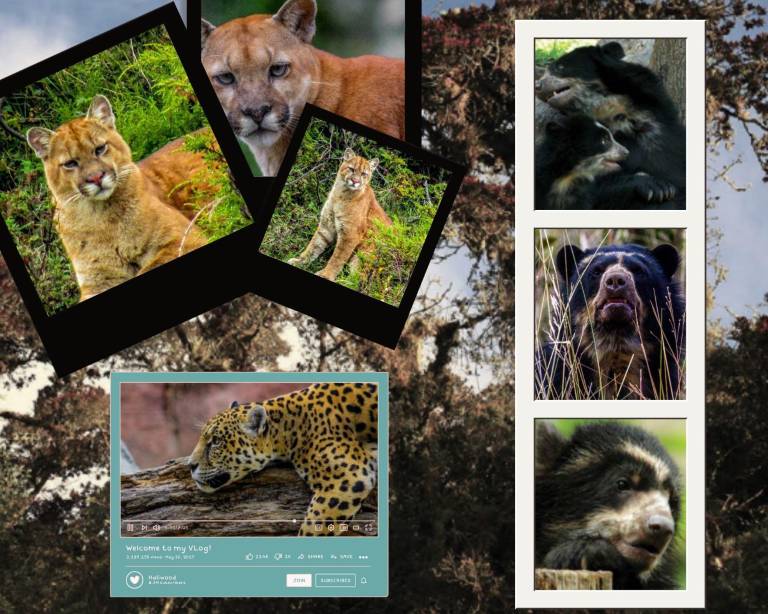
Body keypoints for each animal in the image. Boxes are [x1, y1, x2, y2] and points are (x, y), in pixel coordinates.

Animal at [287, 148, 392, 281]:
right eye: (351, 169)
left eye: (364, 174)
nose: (355, 181)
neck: (340, 193)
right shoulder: (327, 225)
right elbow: (313, 245)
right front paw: (300, 261)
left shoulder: (350, 234)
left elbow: (338, 258)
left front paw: (326, 275)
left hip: (365, 253)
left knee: (357, 279)